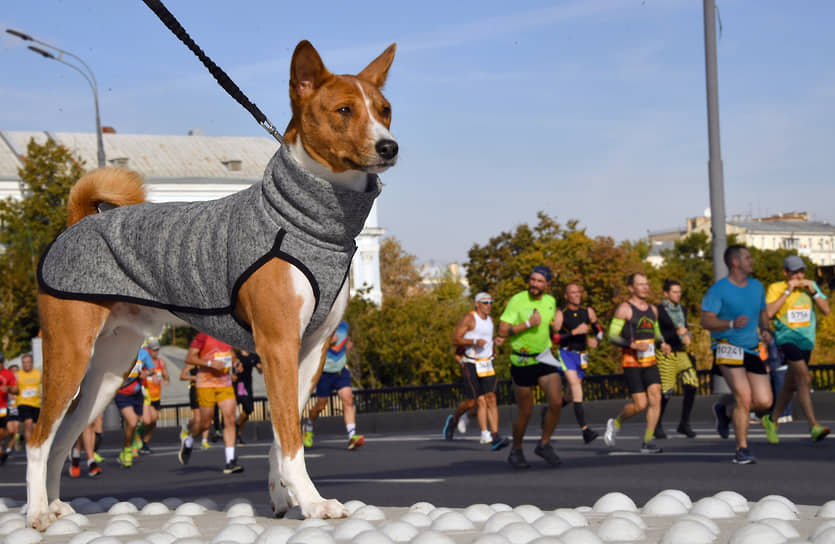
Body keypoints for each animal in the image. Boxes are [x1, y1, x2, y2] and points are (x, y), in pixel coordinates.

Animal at [26, 39, 398, 532]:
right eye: (343, 110)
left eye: (385, 110)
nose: (389, 146)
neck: (309, 223)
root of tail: (78, 221)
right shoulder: (278, 344)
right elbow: (291, 439)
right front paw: (314, 502)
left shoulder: (310, 351)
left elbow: (282, 437)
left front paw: (282, 497)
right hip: (69, 356)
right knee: (37, 440)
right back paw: (35, 512)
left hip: (108, 371)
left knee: (61, 440)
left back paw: (54, 506)